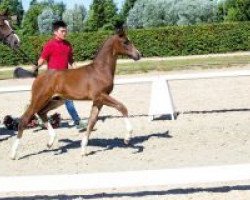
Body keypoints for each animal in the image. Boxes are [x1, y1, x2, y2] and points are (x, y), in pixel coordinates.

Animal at [10, 27, 141, 159]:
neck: (100, 70)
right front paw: (128, 138)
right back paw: (13, 153)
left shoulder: (98, 100)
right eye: (125, 42)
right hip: (39, 99)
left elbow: (92, 122)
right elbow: (122, 107)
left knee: (42, 113)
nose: (138, 55)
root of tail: (38, 76)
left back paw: (51, 142)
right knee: (25, 119)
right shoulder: (101, 96)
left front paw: (83, 149)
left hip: (56, 100)